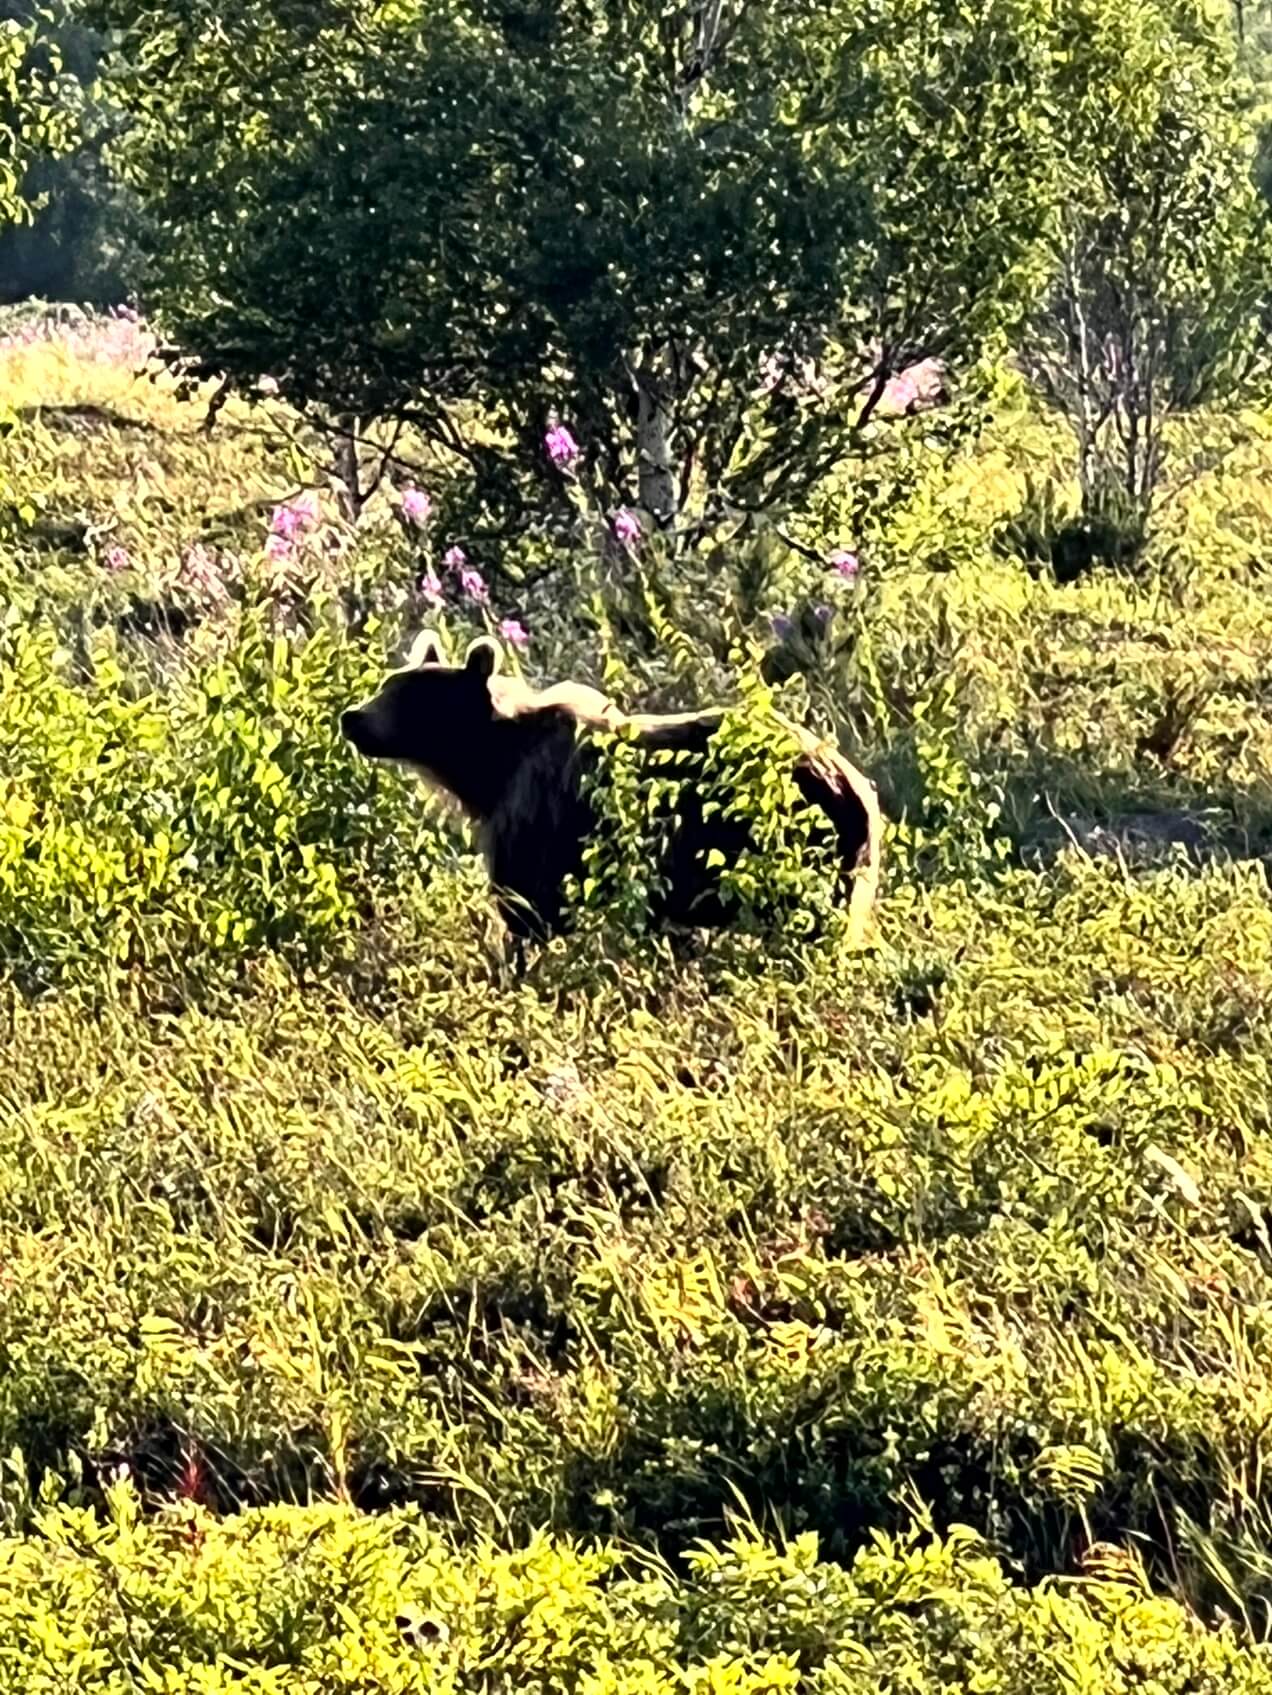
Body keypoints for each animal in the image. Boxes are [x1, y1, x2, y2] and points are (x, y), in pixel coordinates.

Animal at [340, 630, 883, 955]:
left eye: (408, 696)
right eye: (390, 682)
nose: (352, 717)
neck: (485, 773)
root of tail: (862, 788)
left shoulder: (535, 820)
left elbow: (527, 910)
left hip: (798, 842)